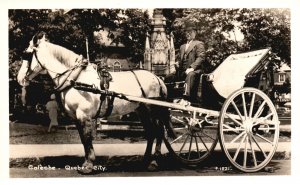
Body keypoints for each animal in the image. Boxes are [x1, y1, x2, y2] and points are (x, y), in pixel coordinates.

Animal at [17, 33, 173, 173]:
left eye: (27, 55)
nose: (19, 78)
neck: (76, 79)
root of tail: (158, 78)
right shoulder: (76, 117)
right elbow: (83, 139)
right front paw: (86, 162)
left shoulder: (83, 115)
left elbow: (87, 138)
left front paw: (88, 165)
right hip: (142, 111)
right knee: (151, 133)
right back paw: (145, 160)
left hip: (152, 110)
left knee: (158, 132)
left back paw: (153, 162)